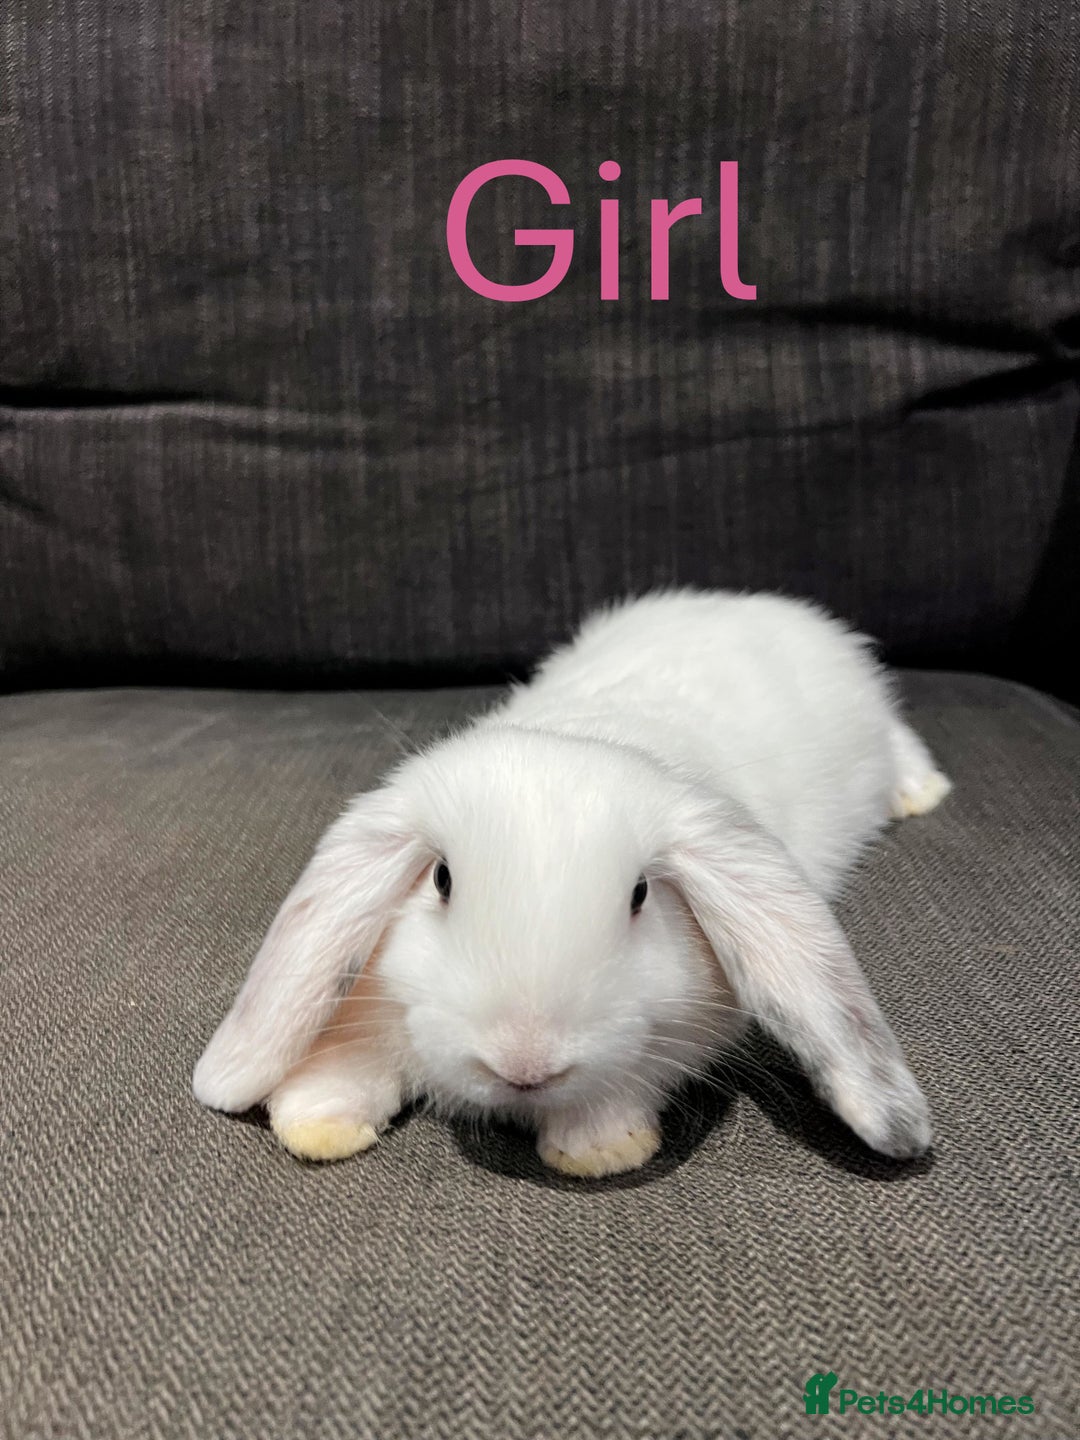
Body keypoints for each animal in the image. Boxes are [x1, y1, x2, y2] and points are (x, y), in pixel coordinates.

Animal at [193, 589, 951, 1178]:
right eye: (441, 878)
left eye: (641, 894)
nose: (524, 1064)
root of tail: (756, 602)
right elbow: (351, 1061)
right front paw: (317, 1125)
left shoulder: (678, 1030)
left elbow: (629, 1083)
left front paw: (599, 1147)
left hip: (874, 722)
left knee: (902, 742)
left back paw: (922, 794)